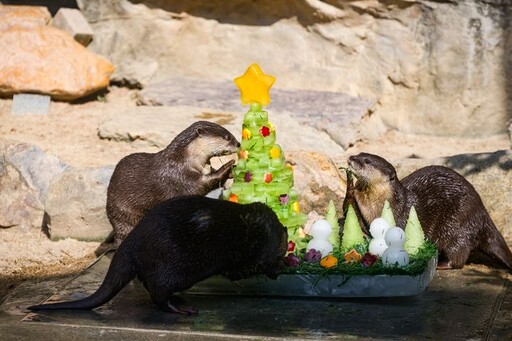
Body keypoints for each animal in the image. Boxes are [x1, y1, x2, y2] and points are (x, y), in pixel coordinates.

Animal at [29, 194, 288, 314]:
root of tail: (133, 241)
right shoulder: (262, 250)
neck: (265, 228)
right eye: (280, 253)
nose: (278, 271)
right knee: (158, 294)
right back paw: (182, 308)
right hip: (172, 265)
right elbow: (249, 266)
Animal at [107, 121, 239, 246]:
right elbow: (203, 184)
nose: (238, 144)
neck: (184, 159)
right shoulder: (179, 177)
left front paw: (234, 170)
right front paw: (227, 166)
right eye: (227, 137)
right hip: (124, 215)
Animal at [342, 152, 512, 270]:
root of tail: (482, 212)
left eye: (367, 161)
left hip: (456, 223)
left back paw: (442, 264)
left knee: (459, 253)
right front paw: (349, 188)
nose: (351, 157)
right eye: (360, 154)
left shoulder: (399, 216)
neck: (377, 204)